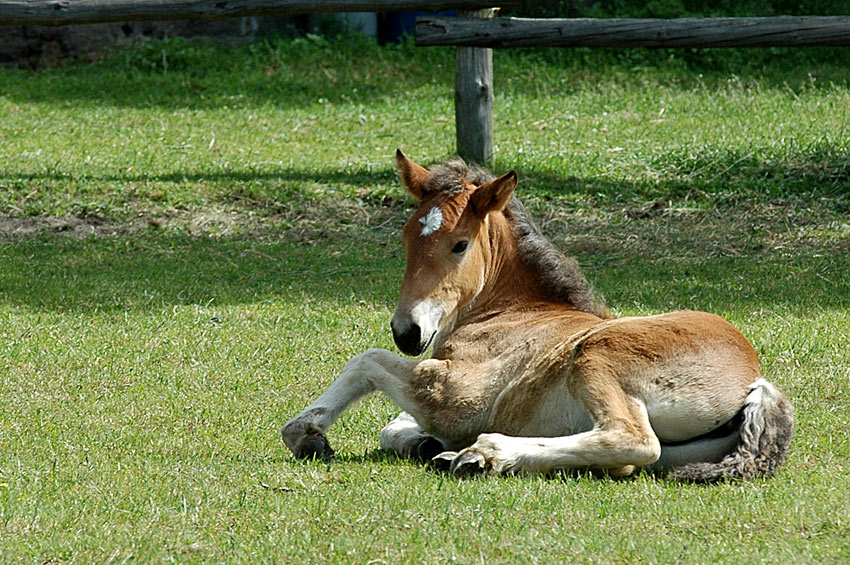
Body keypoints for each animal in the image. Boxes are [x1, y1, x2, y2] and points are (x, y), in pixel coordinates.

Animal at [282, 151, 792, 480]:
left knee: (631, 441)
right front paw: (426, 444)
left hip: (596, 356)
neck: (508, 309)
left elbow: (365, 361)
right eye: (406, 237)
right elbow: (392, 426)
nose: (407, 332)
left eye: (460, 244)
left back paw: (486, 453)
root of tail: (755, 379)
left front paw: (306, 433)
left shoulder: (452, 394)